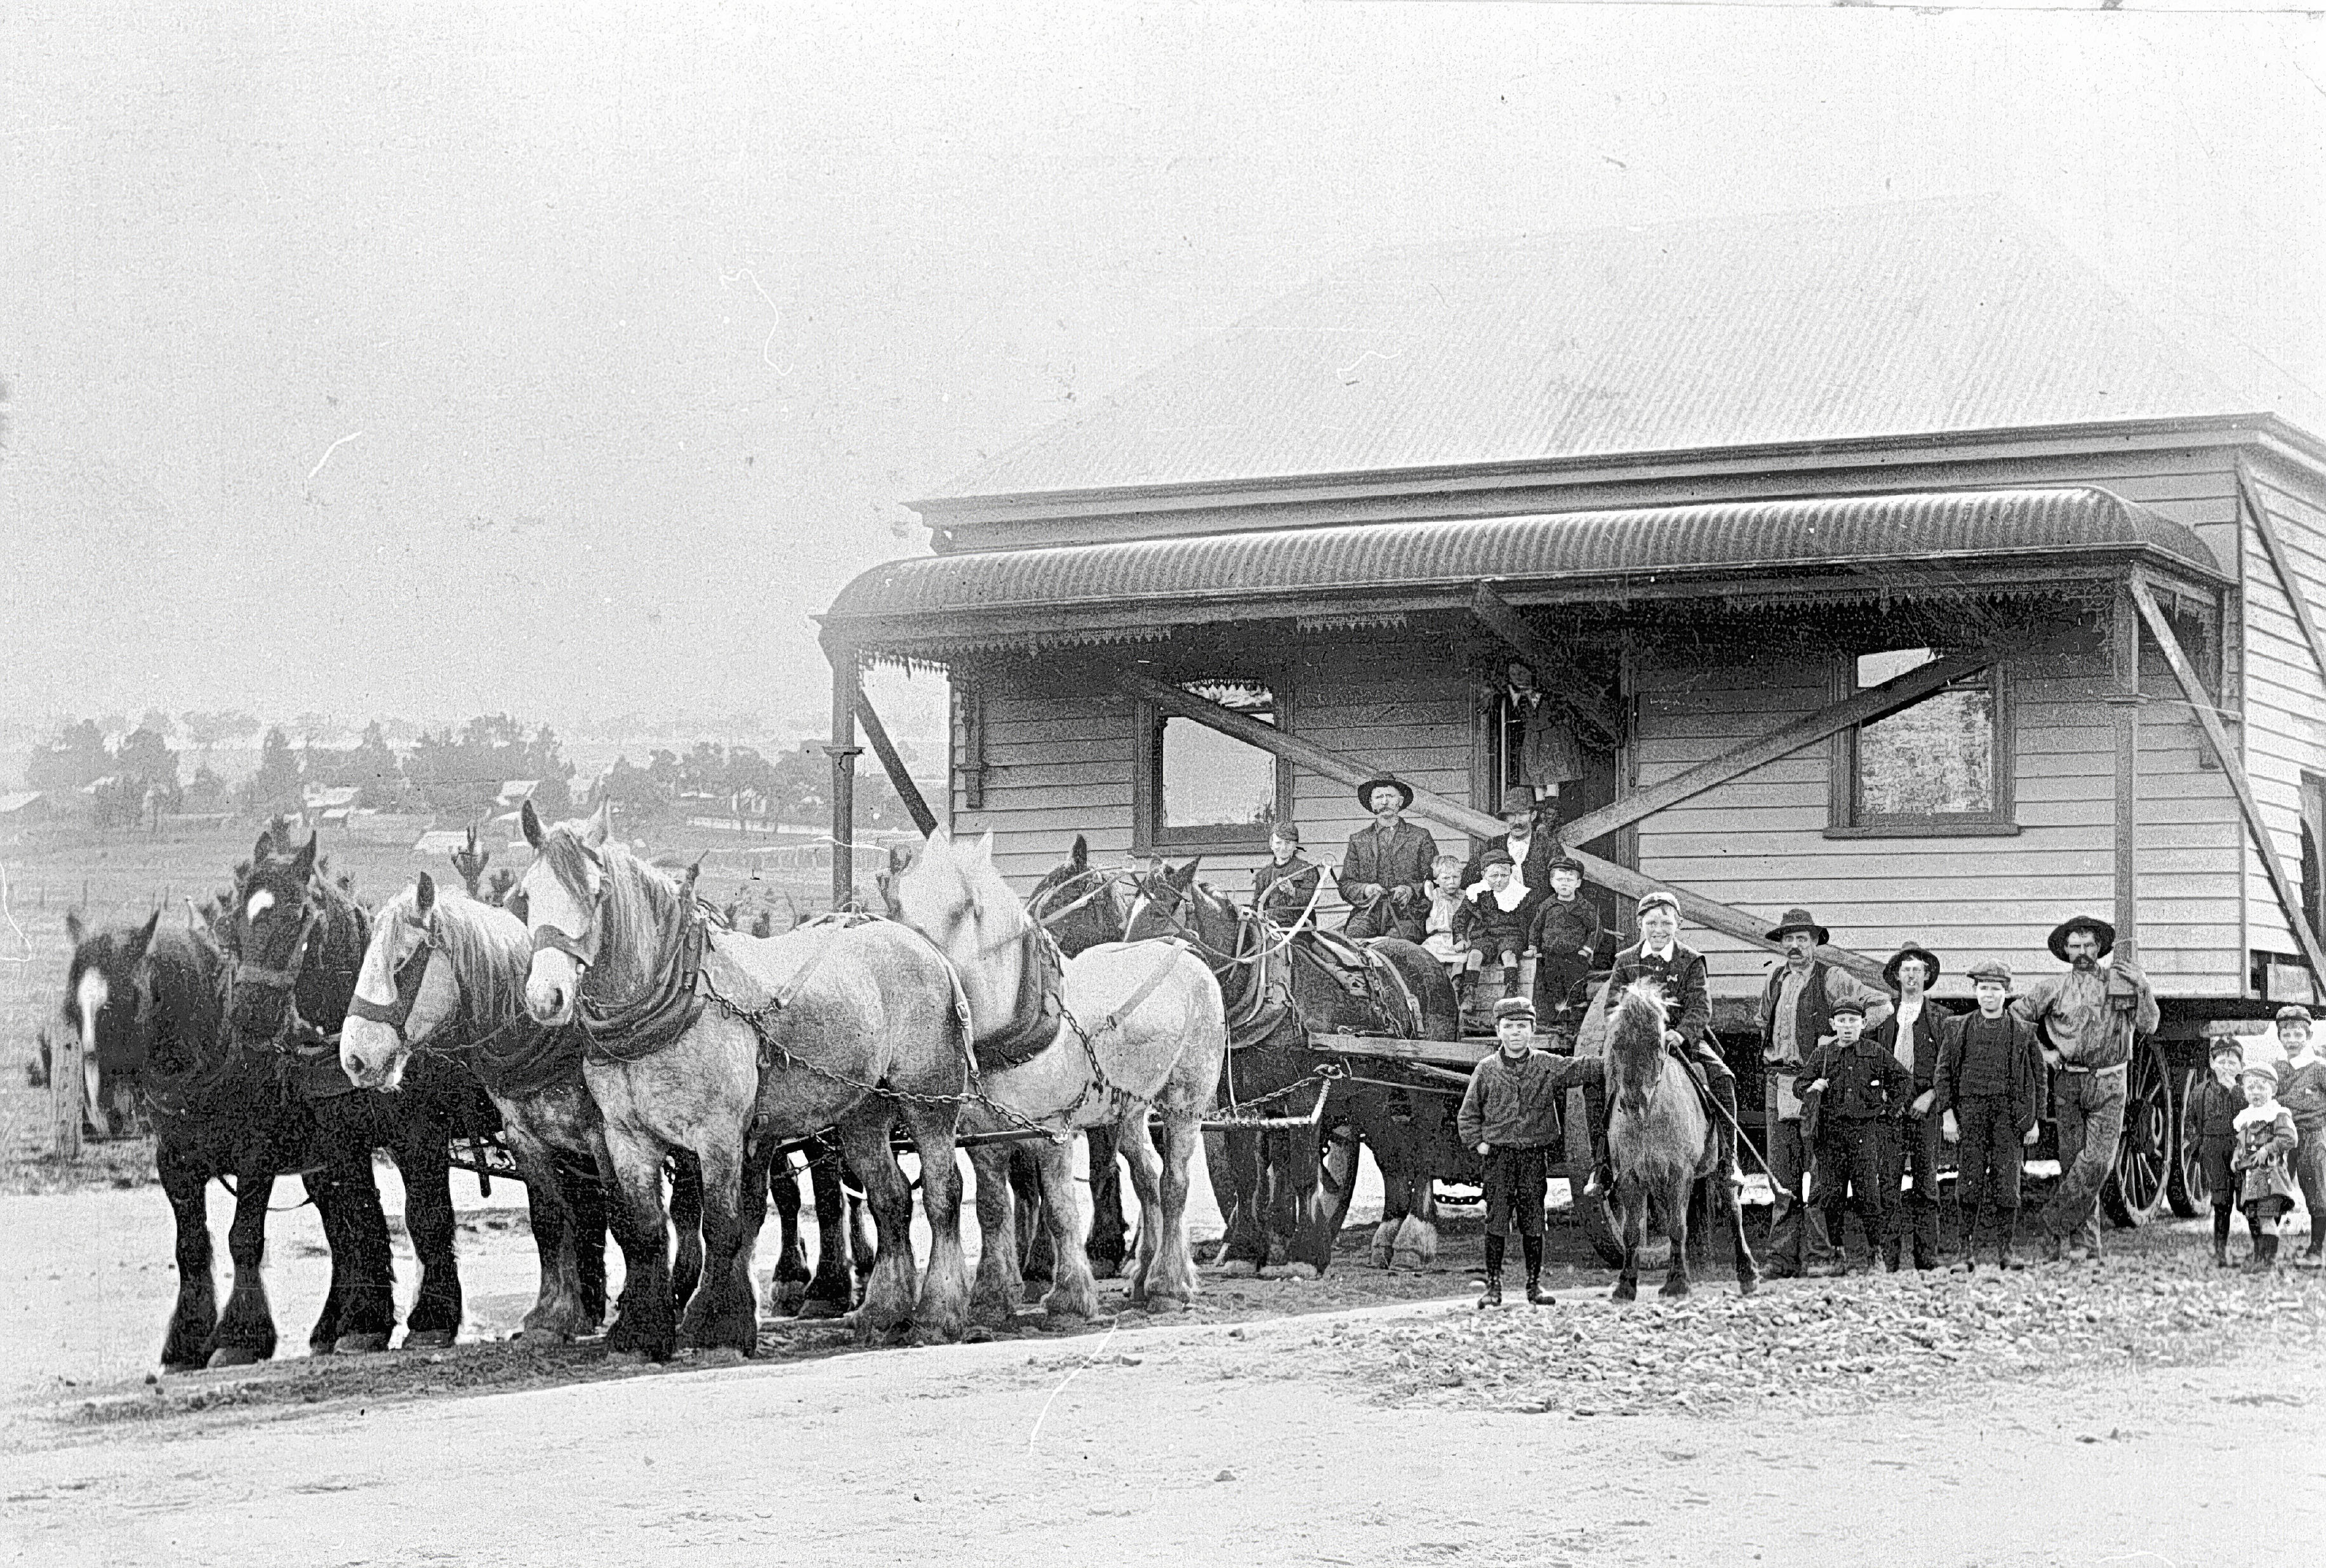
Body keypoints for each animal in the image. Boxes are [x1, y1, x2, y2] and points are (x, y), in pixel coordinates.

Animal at [223, 823, 505, 1349]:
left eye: (295, 916)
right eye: (236, 922)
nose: (250, 1013)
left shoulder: (418, 1135)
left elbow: (426, 1218)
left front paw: (432, 1318)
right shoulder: (342, 1143)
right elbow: (359, 1221)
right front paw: (363, 1322)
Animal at [337, 874, 702, 1339]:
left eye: (401, 962)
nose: (354, 1058)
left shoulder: (601, 1135)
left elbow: (624, 1216)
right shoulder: (525, 1135)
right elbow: (549, 1219)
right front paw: (553, 1314)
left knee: (693, 1205)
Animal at [519, 800, 972, 1349]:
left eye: (597, 892)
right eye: (527, 894)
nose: (547, 997)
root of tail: (927, 951)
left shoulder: (718, 1136)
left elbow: (722, 1224)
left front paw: (718, 1327)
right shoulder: (626, 1137)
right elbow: (644, 1230)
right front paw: (641, 1333)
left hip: (928, 1099)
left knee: (943, 1194)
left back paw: (938, 1313)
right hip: (864, 1111)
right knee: (892, 1199)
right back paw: (883, 1312)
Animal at [884, 823, 1237, 1321]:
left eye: (967, 907)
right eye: (901, 901)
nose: (909, 970)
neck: (1019, 1023)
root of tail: (1184, 953)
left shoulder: (1053, 1132)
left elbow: (1059, 1210)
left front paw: (1069, 1295)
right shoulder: (982, 1136)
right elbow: (992, 1207)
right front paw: (992, 1293)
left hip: (1185, 1102)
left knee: (1174, 1183)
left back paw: (1168, 1283)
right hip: (1128, 1109)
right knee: (1147, 1177)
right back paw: (1144, 1275)